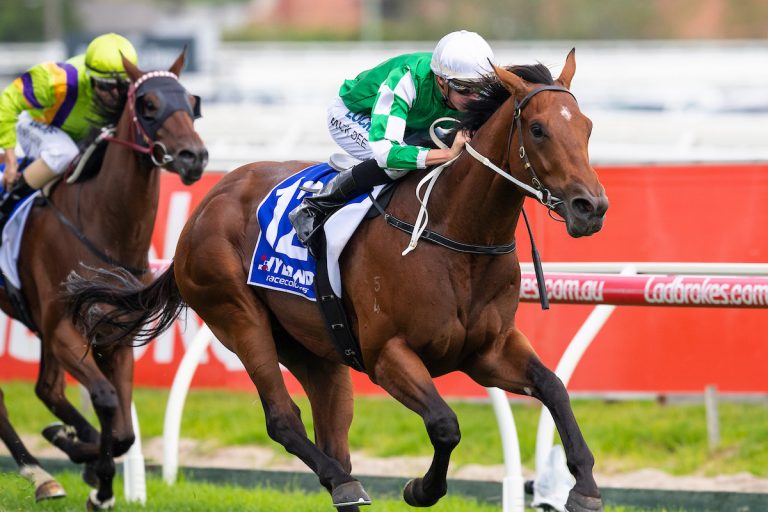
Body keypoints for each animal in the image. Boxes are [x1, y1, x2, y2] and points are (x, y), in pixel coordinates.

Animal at [0, 52, 206, 508]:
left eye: (191, 101)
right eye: (148, 104)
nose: (194, 157)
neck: (102, 225)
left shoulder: (115, 336)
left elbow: (126, 431)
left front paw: (89, 462)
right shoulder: (62, 329)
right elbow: (107, 398)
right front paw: (100, 479)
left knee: (47, 389)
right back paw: (39, 473)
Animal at [67, 49, 608, 512]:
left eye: (586, 126)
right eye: (537, 129)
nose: (592, 207)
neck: (456, 235)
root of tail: (205, 206)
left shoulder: (487, 350)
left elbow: (554, 388)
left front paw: (584, 486)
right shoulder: (388, 354)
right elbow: (445, 424)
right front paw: (421, 488)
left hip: (315, 346)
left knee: (333, 427)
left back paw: (343, 481)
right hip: (238, 317)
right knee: (283, 419)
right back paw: (341, 481)